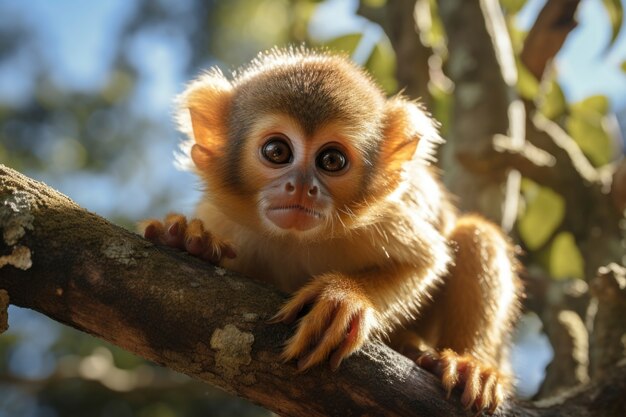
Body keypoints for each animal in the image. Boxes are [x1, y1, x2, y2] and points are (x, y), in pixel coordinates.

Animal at [141, 46, 520, 412]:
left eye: (332, 160)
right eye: (276, 151)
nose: (301, 187)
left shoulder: (385, 221)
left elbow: (426, 262)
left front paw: (347, 297)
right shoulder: (222, 214)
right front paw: (191, 240)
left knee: (476, 235)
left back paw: (470, 365)